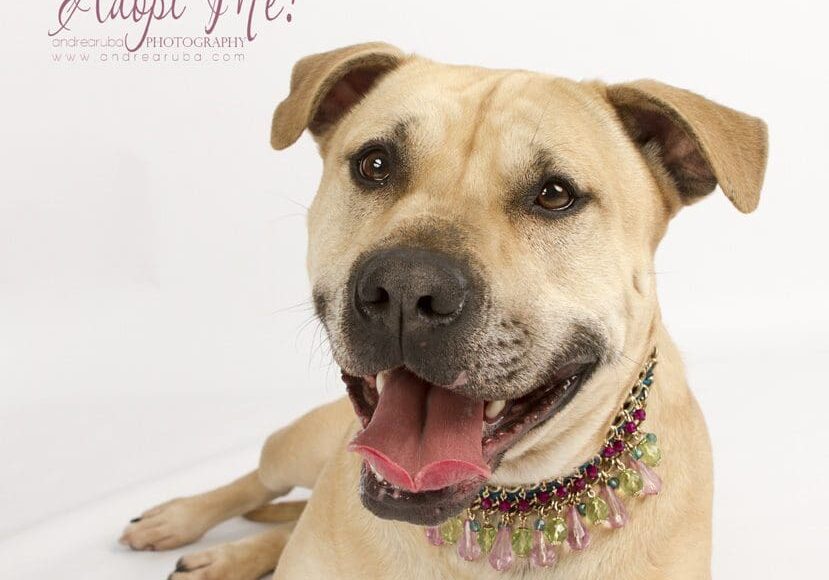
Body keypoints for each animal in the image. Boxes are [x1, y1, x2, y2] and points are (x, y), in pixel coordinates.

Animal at [119, 42, 768, 580]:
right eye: (375, 164)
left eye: (555, 195)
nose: (407, 288)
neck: (508, 512)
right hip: (297, 444)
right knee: (257, 480)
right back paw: (178, 522)